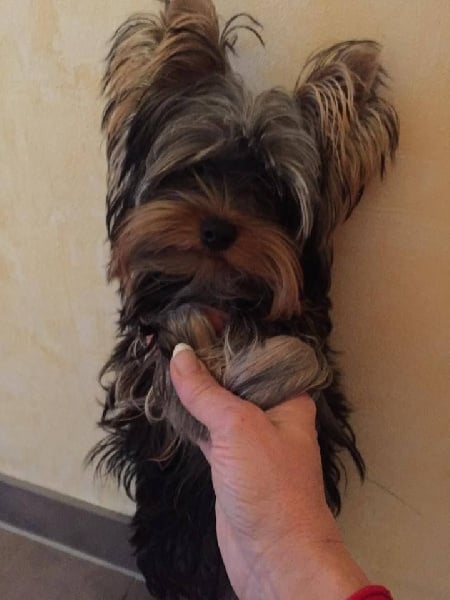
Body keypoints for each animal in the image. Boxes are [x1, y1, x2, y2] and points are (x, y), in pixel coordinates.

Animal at [89, 1, 399, 598]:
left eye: (274, 190)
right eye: (195, 166)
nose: (217, 229)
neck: (214, 290)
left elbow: (288, 360)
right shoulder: (147, 369)